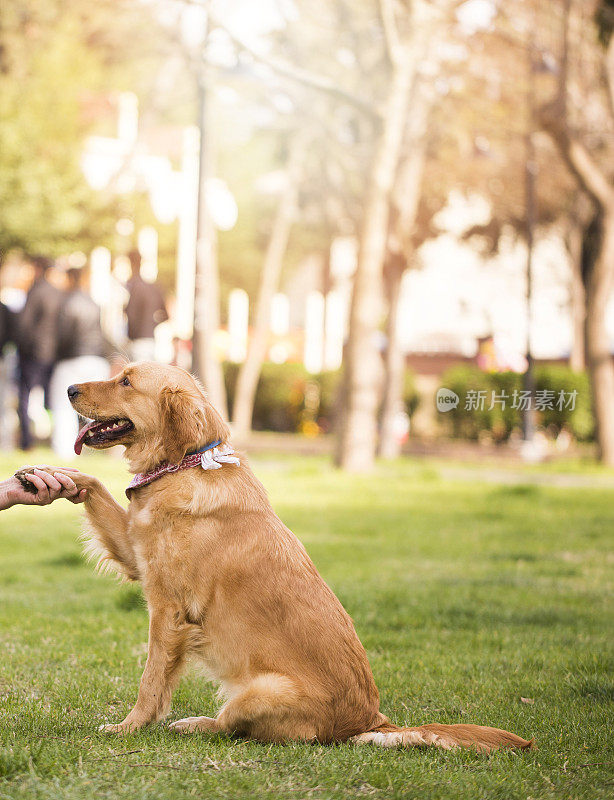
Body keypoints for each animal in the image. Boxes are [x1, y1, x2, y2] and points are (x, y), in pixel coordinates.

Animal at [38, 366, 536, 752]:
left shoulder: (168, 611)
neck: (187, 464)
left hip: (257, 692)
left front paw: (129, 727)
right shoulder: (135, 553)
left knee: (231, 728)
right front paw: (57, 477)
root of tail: (372, 721)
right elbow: (95, 489)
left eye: (125, 380)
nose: (69, 389)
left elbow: (150, 682)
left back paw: (194, 724)